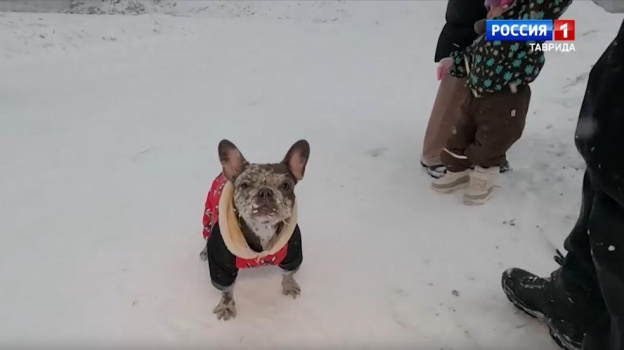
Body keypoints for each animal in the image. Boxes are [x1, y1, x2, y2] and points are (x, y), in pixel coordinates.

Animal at [200, 139, 310, 320]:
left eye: (286, 185)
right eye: (245, 185)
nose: (265, 191)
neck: (262, 227)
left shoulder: (292, 251)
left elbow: (288, 272)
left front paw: (289, 286)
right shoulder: (221, 266)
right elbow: (226, 290)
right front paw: (226, 306)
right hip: (208, 215)